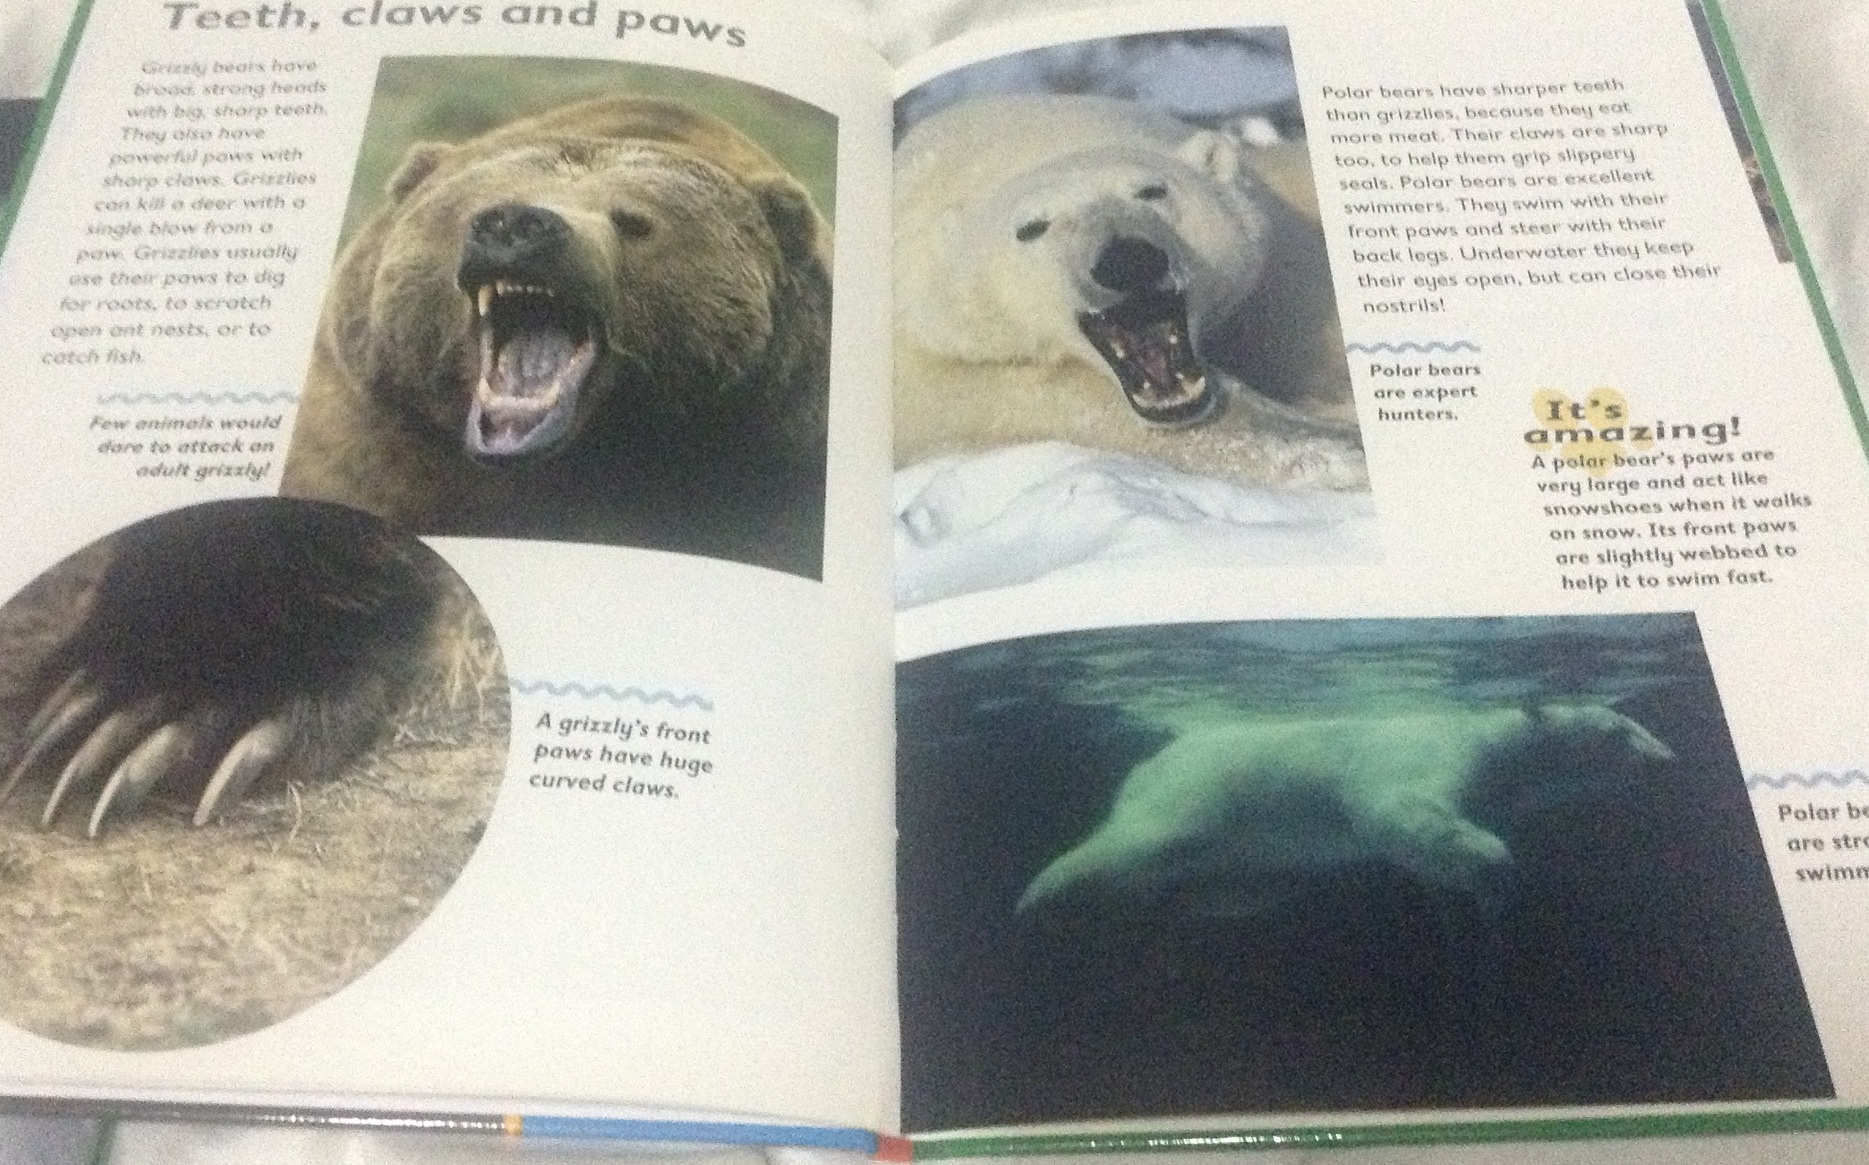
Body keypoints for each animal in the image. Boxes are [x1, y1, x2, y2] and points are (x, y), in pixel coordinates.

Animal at [1016, 703, 1674, 917]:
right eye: (1621, 729)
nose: (1668, 758)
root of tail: (1152, 760)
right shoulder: (1429, 752)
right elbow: (1396, 810)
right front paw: (1497, 869)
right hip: (1197, 790)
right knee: (1140, 841)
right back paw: (1036, 895)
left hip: (1245, 848)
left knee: (1231, 881)